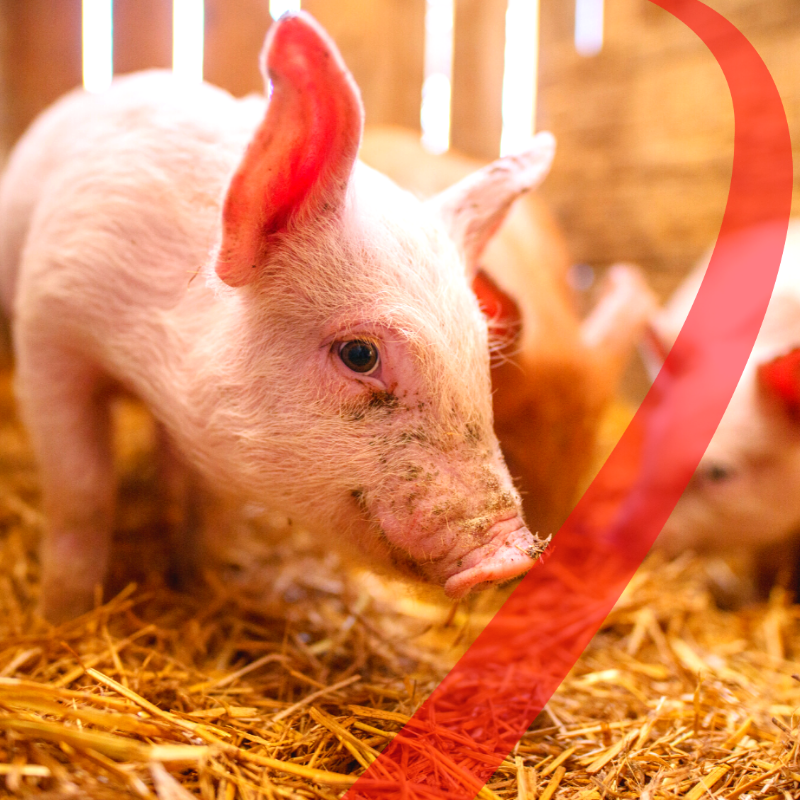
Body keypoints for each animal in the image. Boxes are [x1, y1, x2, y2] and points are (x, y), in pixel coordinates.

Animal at [0, 12, 552, 622]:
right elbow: (83, 490)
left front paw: (201, 583)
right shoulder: (48, 326)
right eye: (359, 353)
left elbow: (210, 500)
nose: (513, 555)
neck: (143, 353)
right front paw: (62, 616)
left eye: (479, 353)